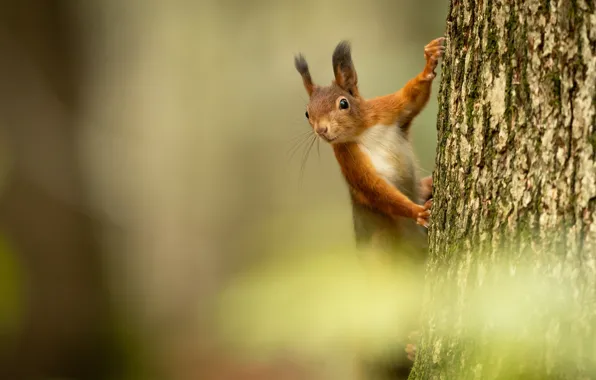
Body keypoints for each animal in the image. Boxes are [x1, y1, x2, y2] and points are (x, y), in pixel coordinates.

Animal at [294, 37, 442, 255]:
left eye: (344, 103)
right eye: (307, 113)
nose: (321, 130)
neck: (361, 132)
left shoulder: (386, 110)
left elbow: (411, 98)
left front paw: (430, 60)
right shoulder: (350, 161)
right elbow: (376, 190)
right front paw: (417, 212)